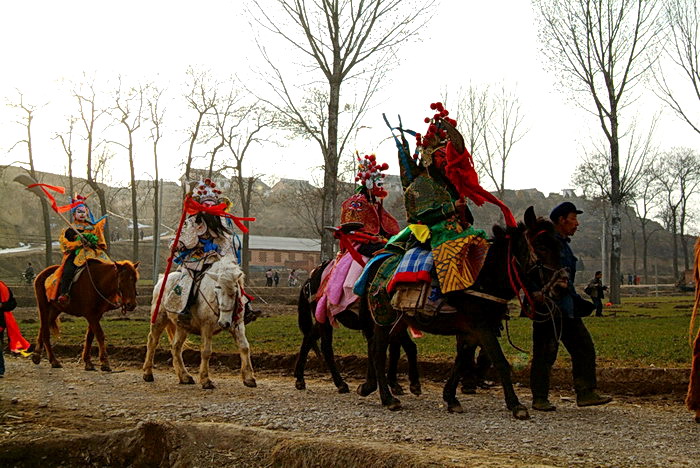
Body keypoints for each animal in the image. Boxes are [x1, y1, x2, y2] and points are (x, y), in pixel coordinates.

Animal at [141, 256, 256, 388]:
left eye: (235, 291)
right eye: (217, 289)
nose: (224, 323)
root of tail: (161, 280)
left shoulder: (238, 325)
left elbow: (244, 347)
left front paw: (249, 378)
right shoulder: (207, 326)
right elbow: (206, 351)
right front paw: (206, 380)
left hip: (182, 327)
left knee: (176, 347)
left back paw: (185, 377)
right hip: (159, 318)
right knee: (152, 342)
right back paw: (148, 373)